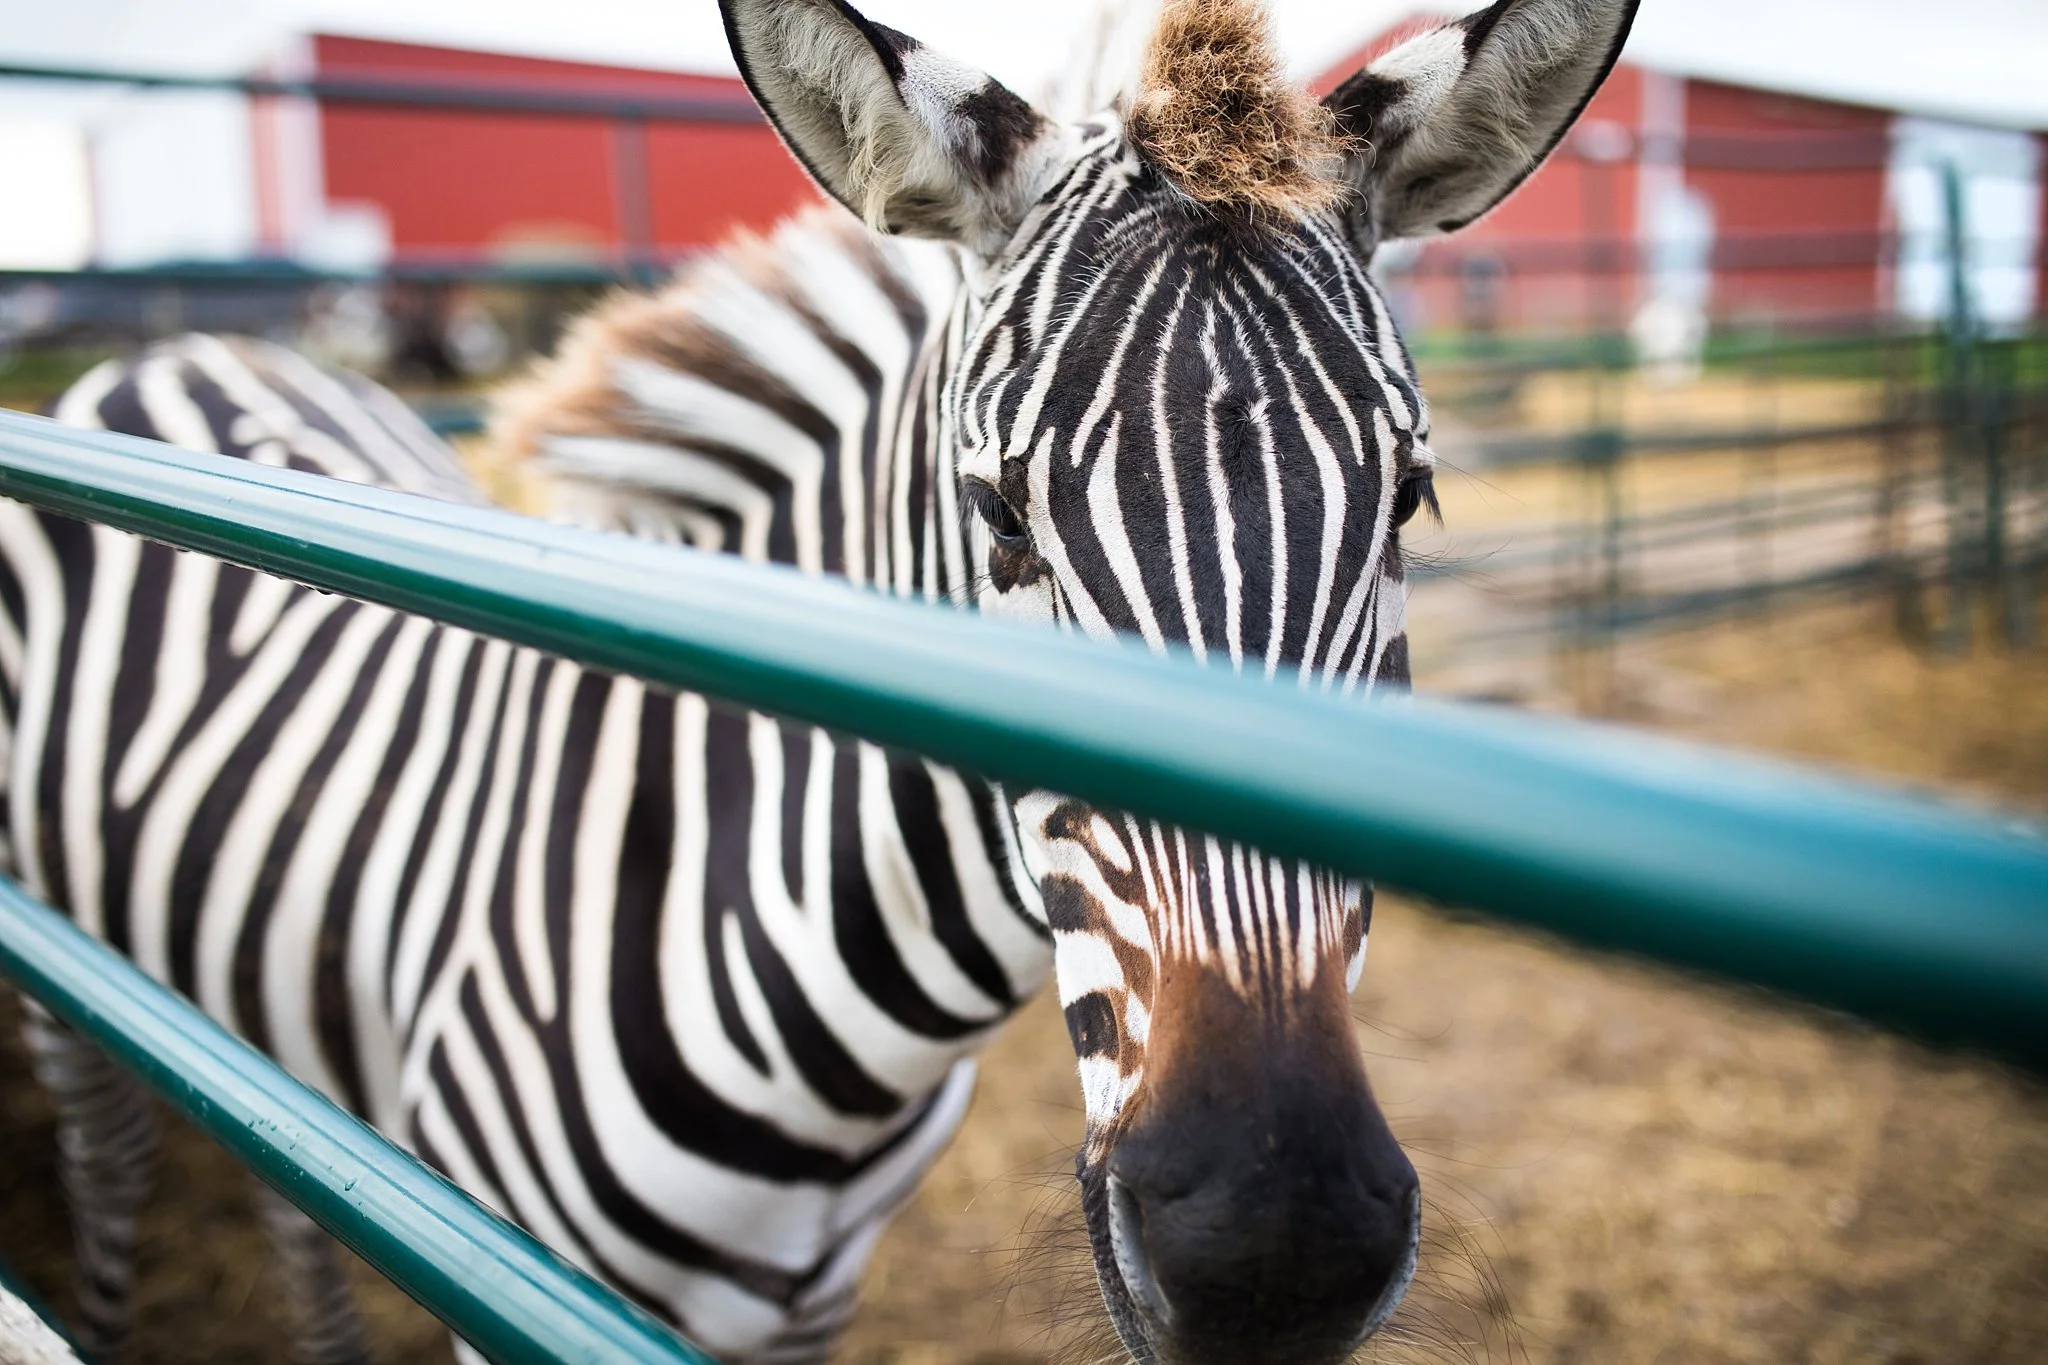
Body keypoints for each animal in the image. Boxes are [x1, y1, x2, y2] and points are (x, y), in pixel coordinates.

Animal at [6, 0, 1637, 1361]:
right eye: (996, 520)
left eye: (1409, 501)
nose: (1274, 1255)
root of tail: (187, 351)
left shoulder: (804, 1303)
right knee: (111, 1150)